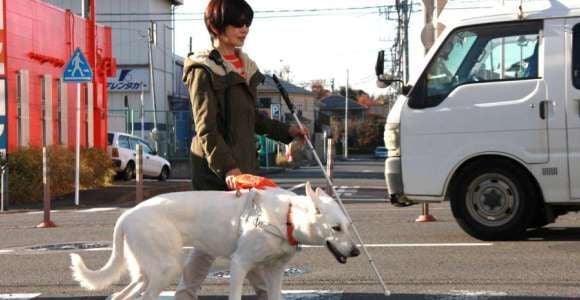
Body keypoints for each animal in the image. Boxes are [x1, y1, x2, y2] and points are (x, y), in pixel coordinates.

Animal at [70, 183, 360, 300]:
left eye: (348, 226)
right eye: (335, 228)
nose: (356, 252)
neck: (286, 217)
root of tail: (127, 214)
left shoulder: (275, 272)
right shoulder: (239, 265)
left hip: (145, 272)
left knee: (120, 296)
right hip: (166, 269)